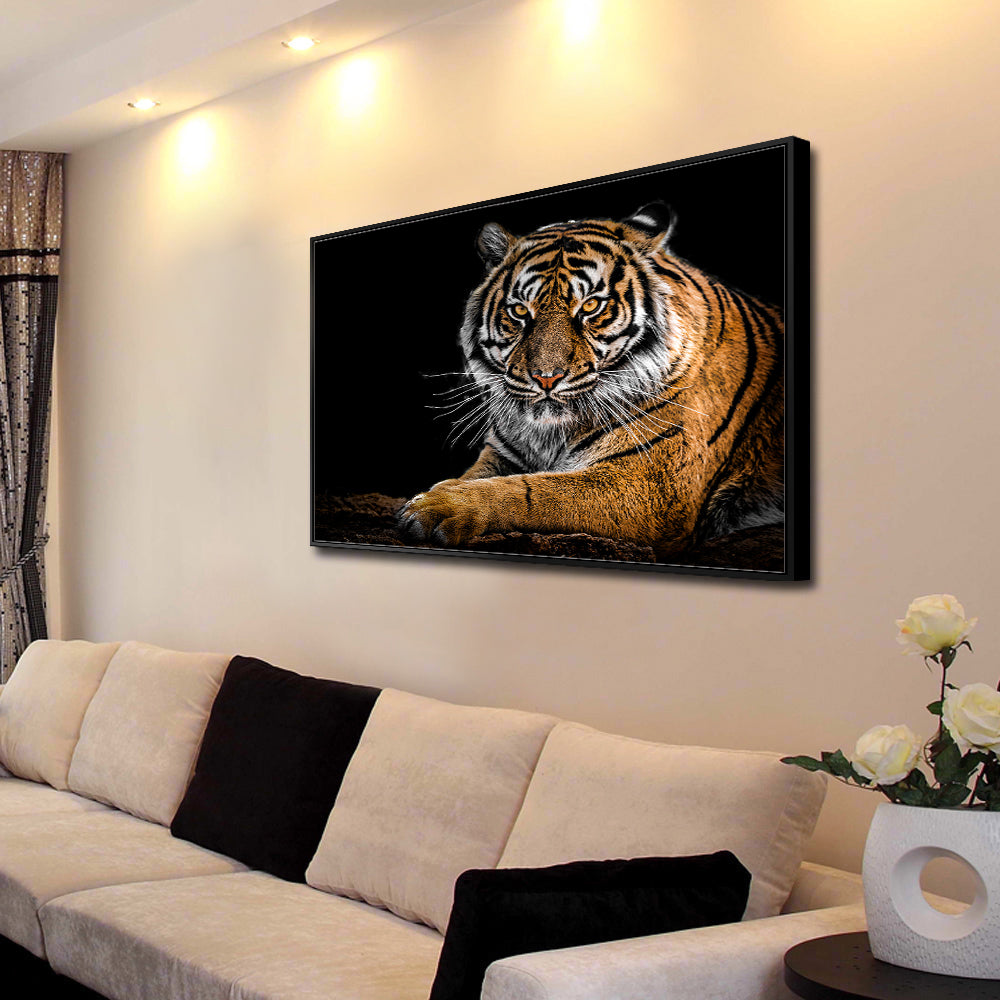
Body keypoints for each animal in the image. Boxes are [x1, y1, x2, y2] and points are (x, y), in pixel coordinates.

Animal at [397, 203, 784, 561]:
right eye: (519, 311)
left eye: (591, 306)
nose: (546, 378)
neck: (550, 434)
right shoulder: (502, 454)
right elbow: (480, 477)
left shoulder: (652, 486)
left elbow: (534, 493)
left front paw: (436, 507)